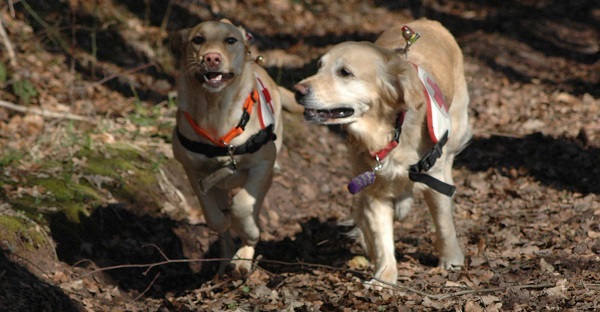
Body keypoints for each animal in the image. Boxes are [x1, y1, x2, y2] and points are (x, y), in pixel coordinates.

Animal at [170, 19, 294, 276]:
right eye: (198, 40)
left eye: (230, 40)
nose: (211, 58)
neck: (216, 111)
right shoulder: (193, 171)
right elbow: (214, 217)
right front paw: (224, 222)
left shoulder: (262, 164)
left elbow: (243, 205)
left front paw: (249, 234)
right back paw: (224, 264)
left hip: (268, 172)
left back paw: (242, 259)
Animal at [292, 18, 472, 288]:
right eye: (319, 67)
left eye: (345, 73)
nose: (298, 90)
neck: (388, 133)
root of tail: (429, 22)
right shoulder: (373, 190)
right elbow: (381, 238)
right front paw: (384, 277)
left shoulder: (434, 178)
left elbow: (443, 222)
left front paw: (451, 261)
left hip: (456, 128)